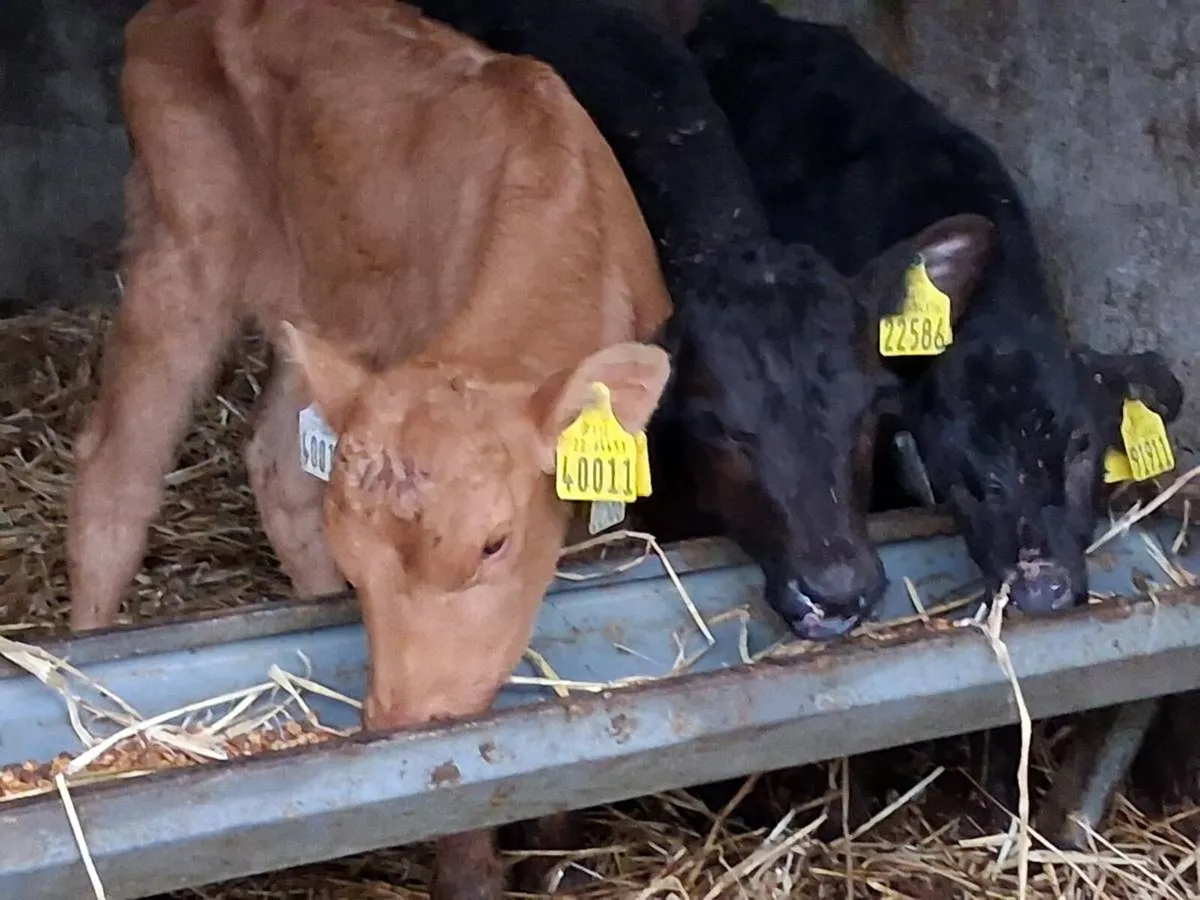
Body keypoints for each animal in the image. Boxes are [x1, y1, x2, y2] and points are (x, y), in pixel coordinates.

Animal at [65, 0, 673, 896]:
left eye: (494, 544)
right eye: (360, 569)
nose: (397, 723)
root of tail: (165, 14)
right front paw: (471, 867)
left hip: (312, 305)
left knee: (276, 463)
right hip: (184, 242)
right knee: (116, 463)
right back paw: (87, 660)